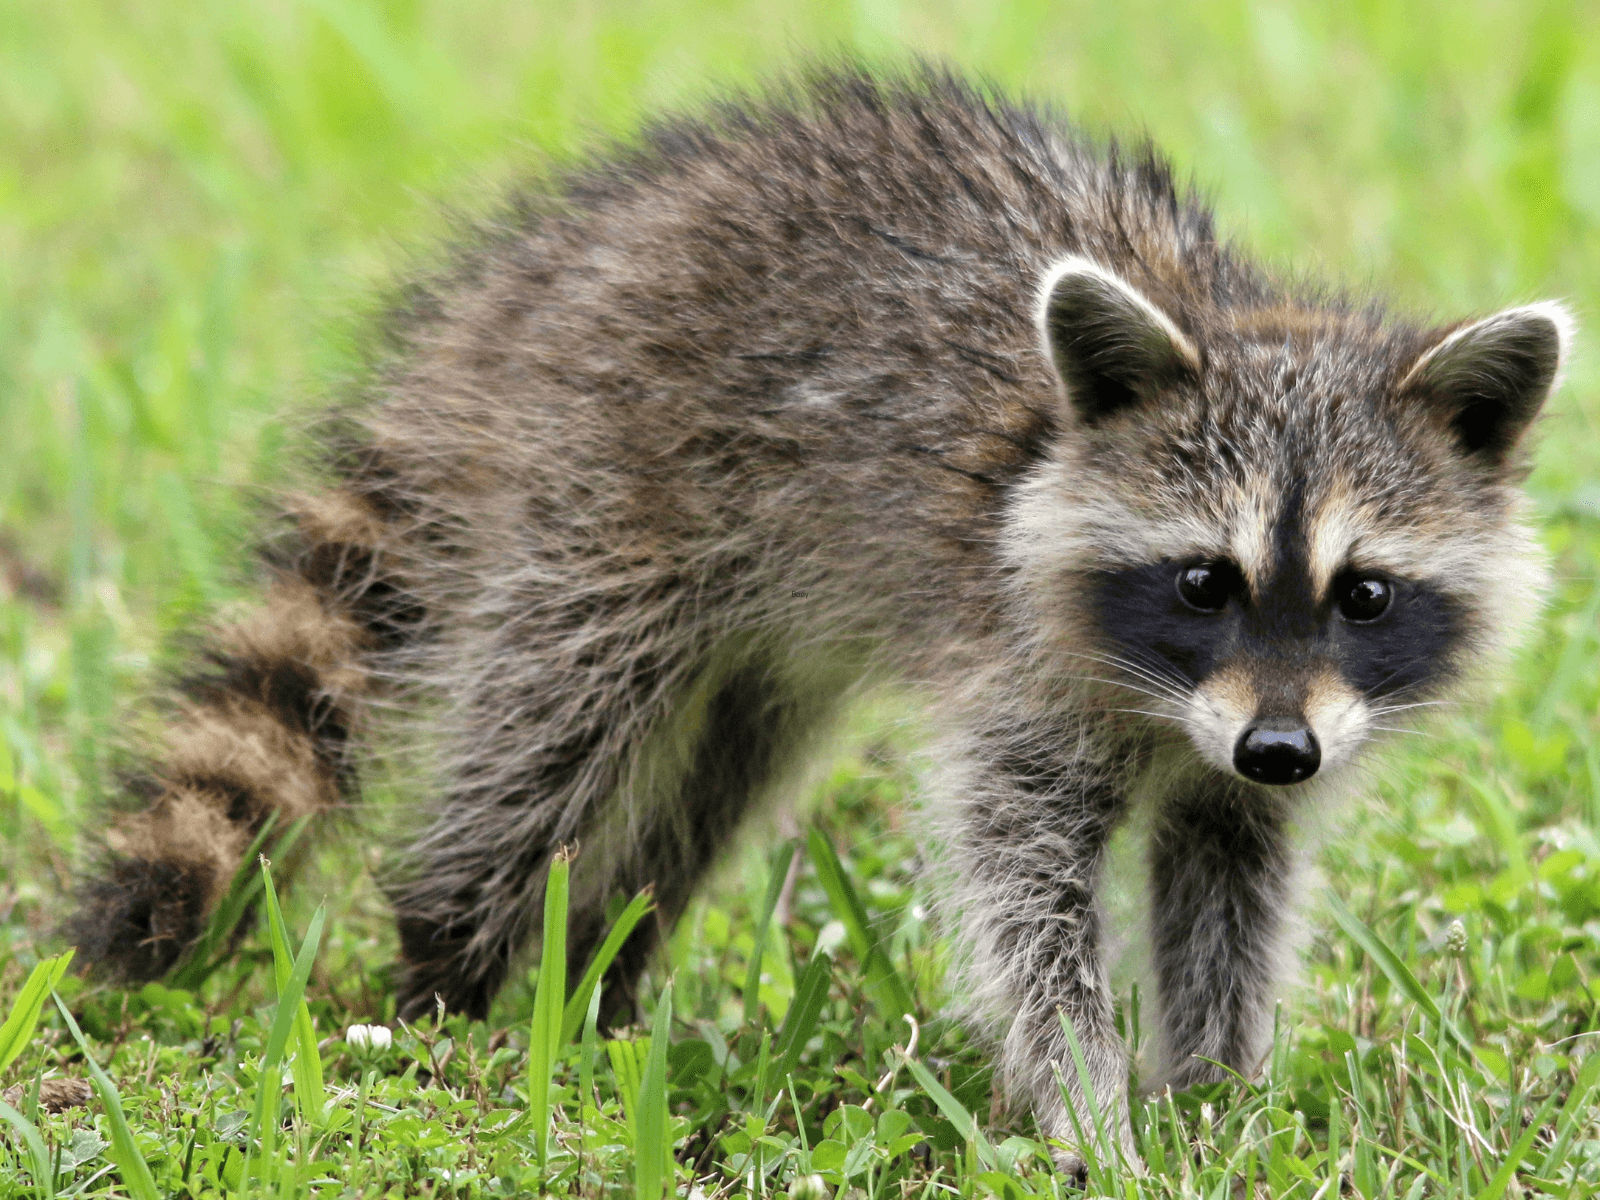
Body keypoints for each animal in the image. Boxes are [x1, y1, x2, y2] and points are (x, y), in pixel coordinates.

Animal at [68, 65, 1569, 1164]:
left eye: (1363, 594)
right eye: (1205, 580)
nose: (1278, 751)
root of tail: (552, 262)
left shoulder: (1256, 746)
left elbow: (1230, 879)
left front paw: (1216, 1094)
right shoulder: (1017, 668)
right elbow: (1020, 885)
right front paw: (1088, 1104)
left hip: (755, 625)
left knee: (711, 780)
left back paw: (601, 972)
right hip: (605, 484)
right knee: (548, 731)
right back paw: (448, 971)